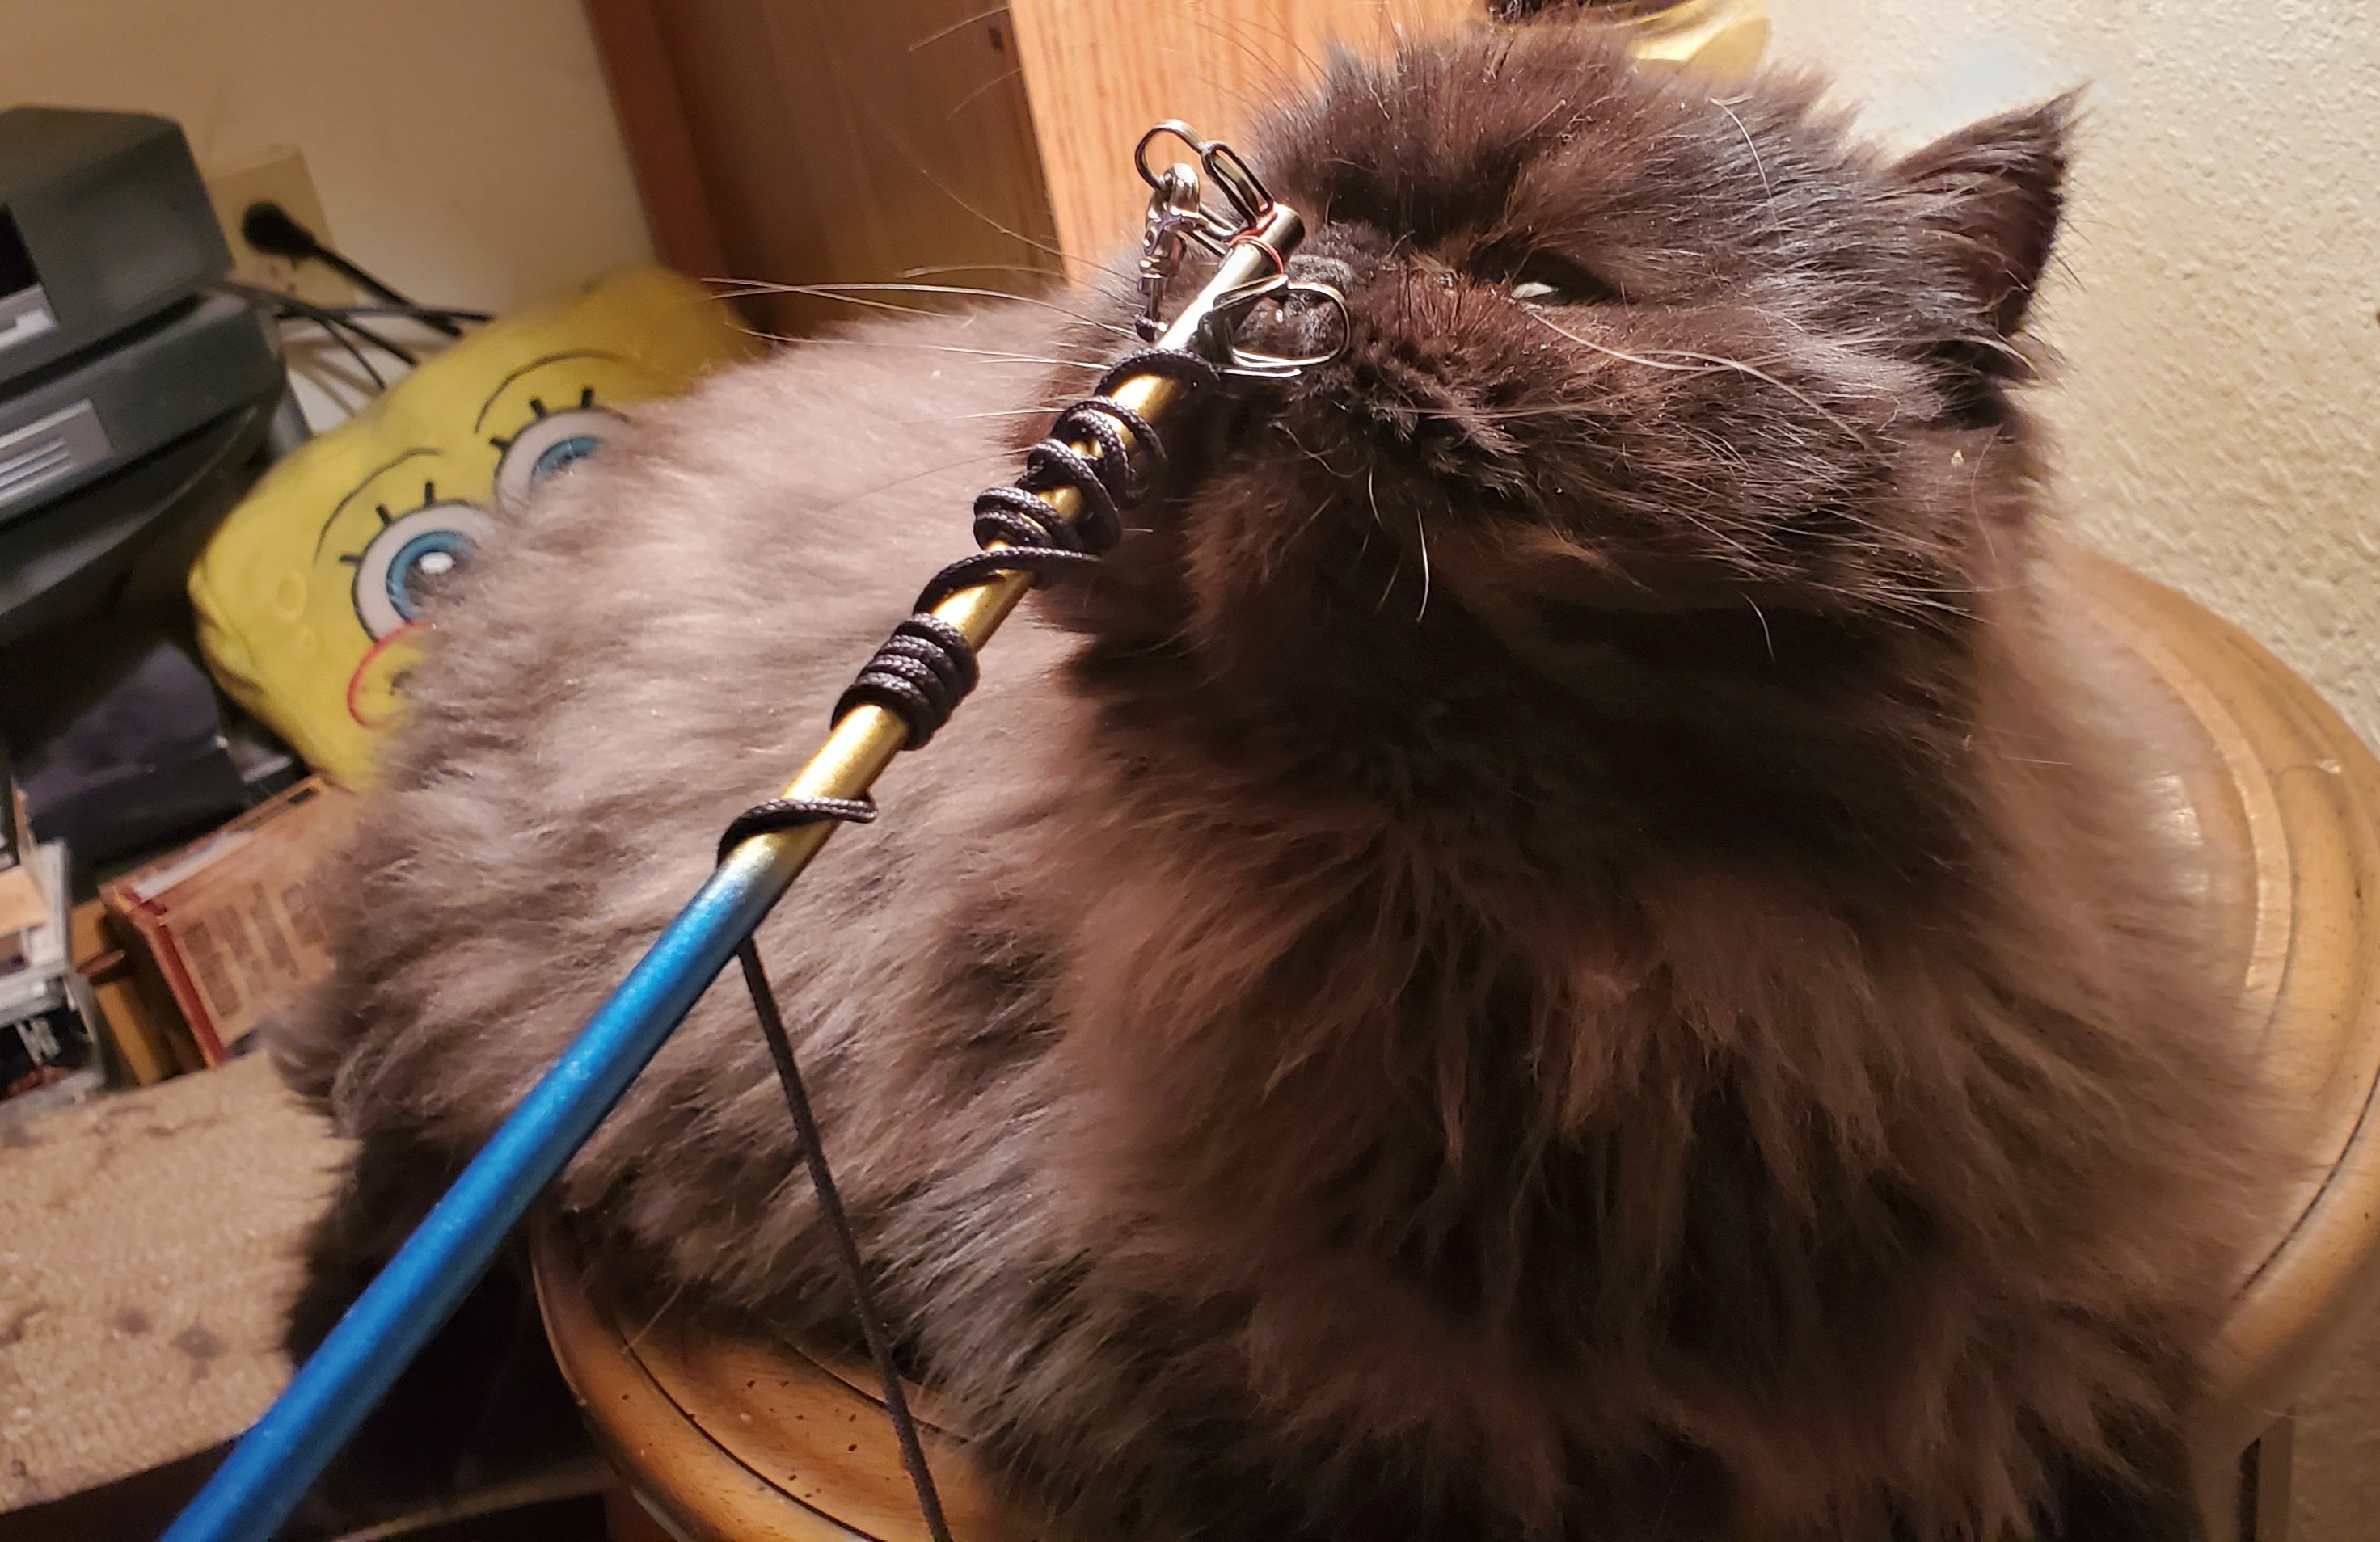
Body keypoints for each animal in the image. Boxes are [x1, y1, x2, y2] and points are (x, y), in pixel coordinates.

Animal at [272, 9, 2285, 1539]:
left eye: (1535, 281)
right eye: (1264, 209)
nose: (1307, 267)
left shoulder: (2050, 1308)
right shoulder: (1227, 1366)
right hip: (502, 1015)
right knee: (418, 1192)